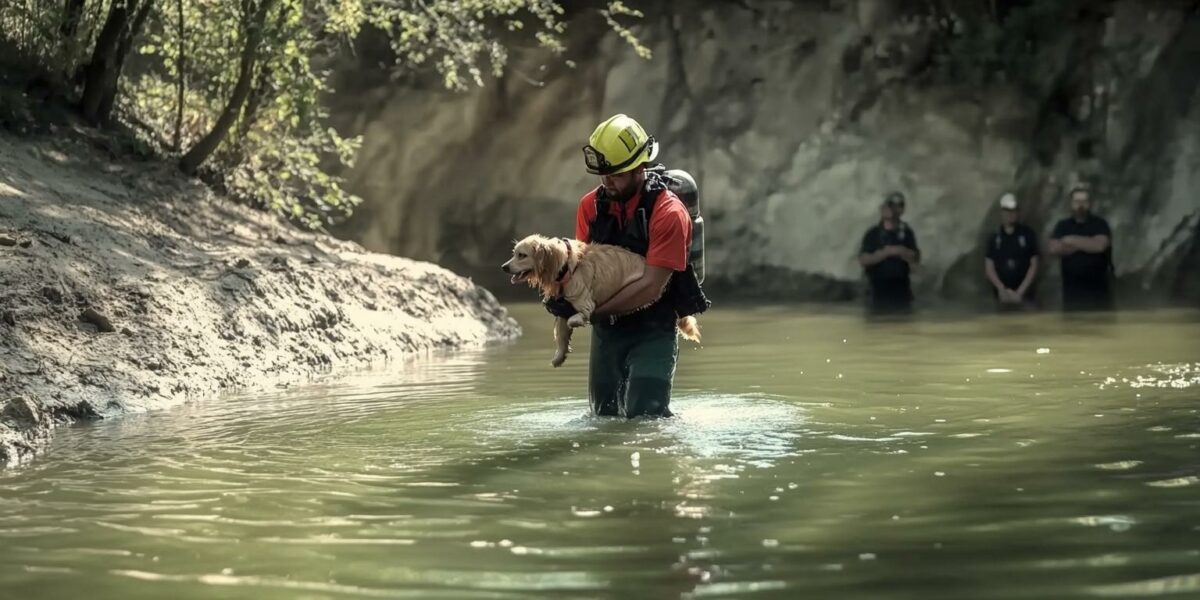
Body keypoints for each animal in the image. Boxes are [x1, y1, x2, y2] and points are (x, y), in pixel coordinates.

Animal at [499, 232, 700, 364]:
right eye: (514, 253)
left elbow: (573, 319)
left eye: (522, 255)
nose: (504, 267)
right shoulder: (562, 305)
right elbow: (561, 333)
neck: (564, 264)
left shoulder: (582, 300)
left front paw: (576, 322)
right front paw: (559, 356)